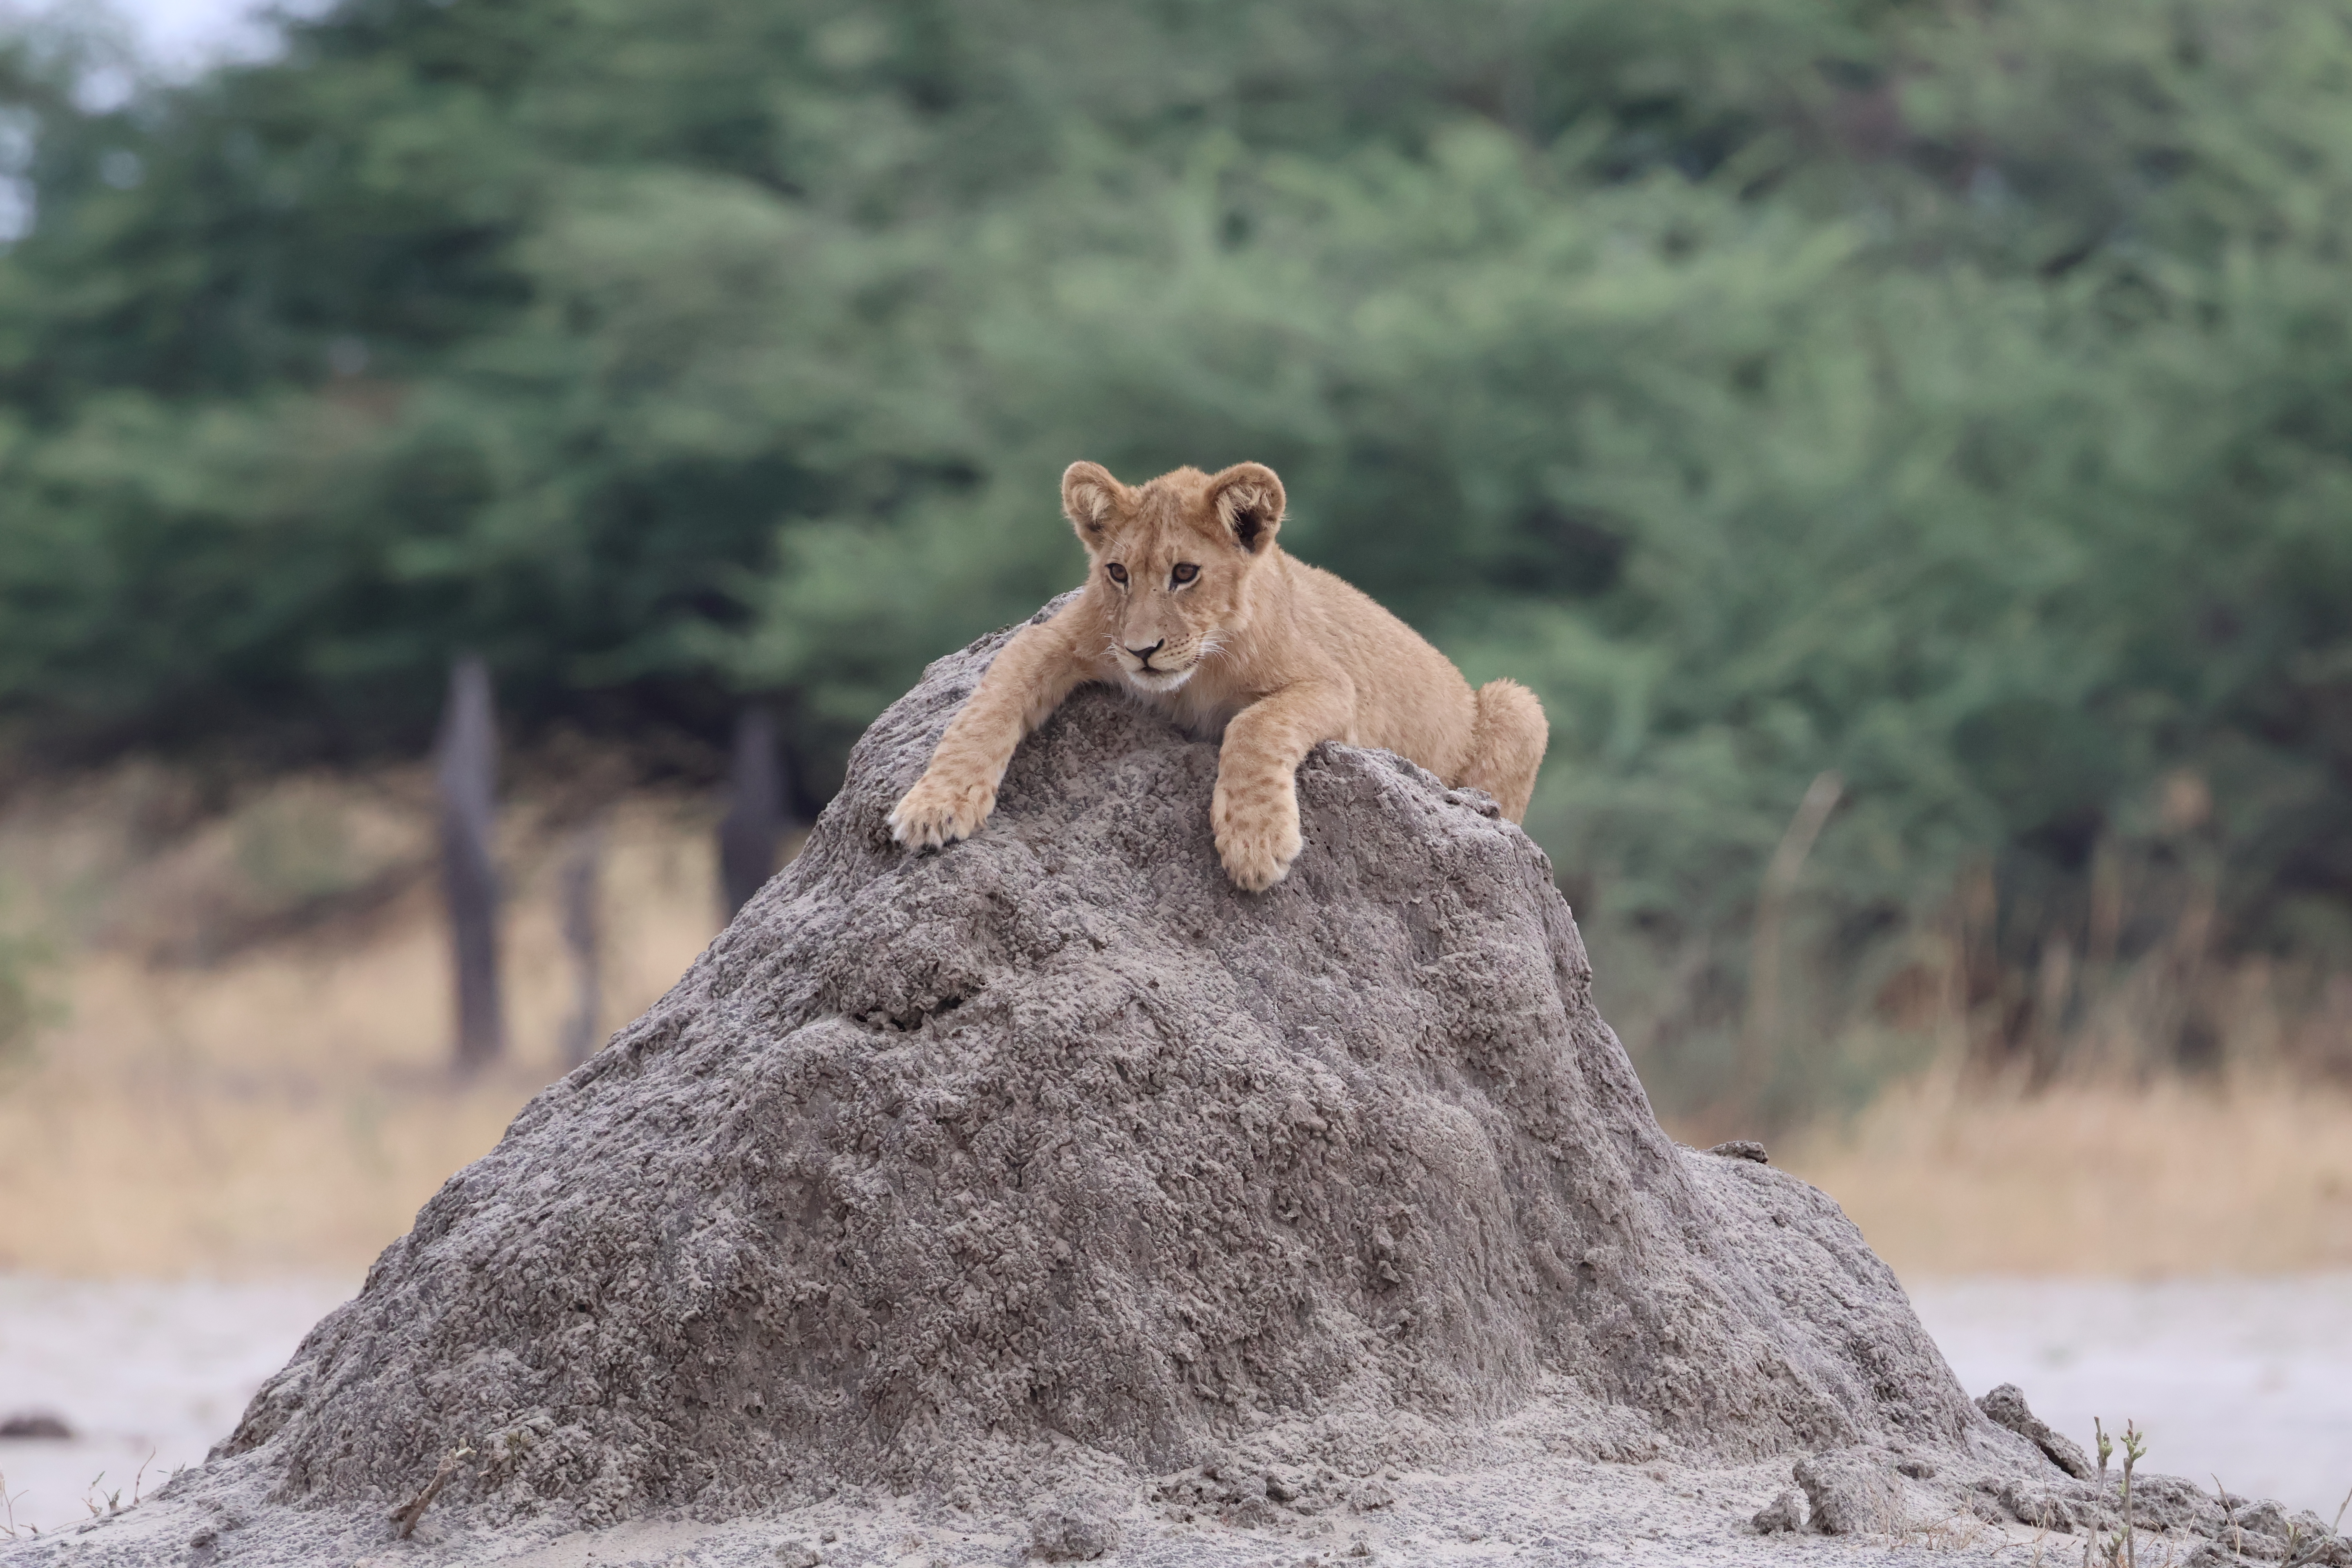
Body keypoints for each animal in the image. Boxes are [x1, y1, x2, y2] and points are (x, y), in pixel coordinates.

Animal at [889, 460, 1548, 891]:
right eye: (1118, 573)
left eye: (1185, 573)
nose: (1142, 651)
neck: (1199, 667)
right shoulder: (1054, 639)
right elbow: (984, 708)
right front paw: (934, 806)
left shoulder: (1334, 688)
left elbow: (1256, 724)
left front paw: (1255, 844)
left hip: (1518, 704)